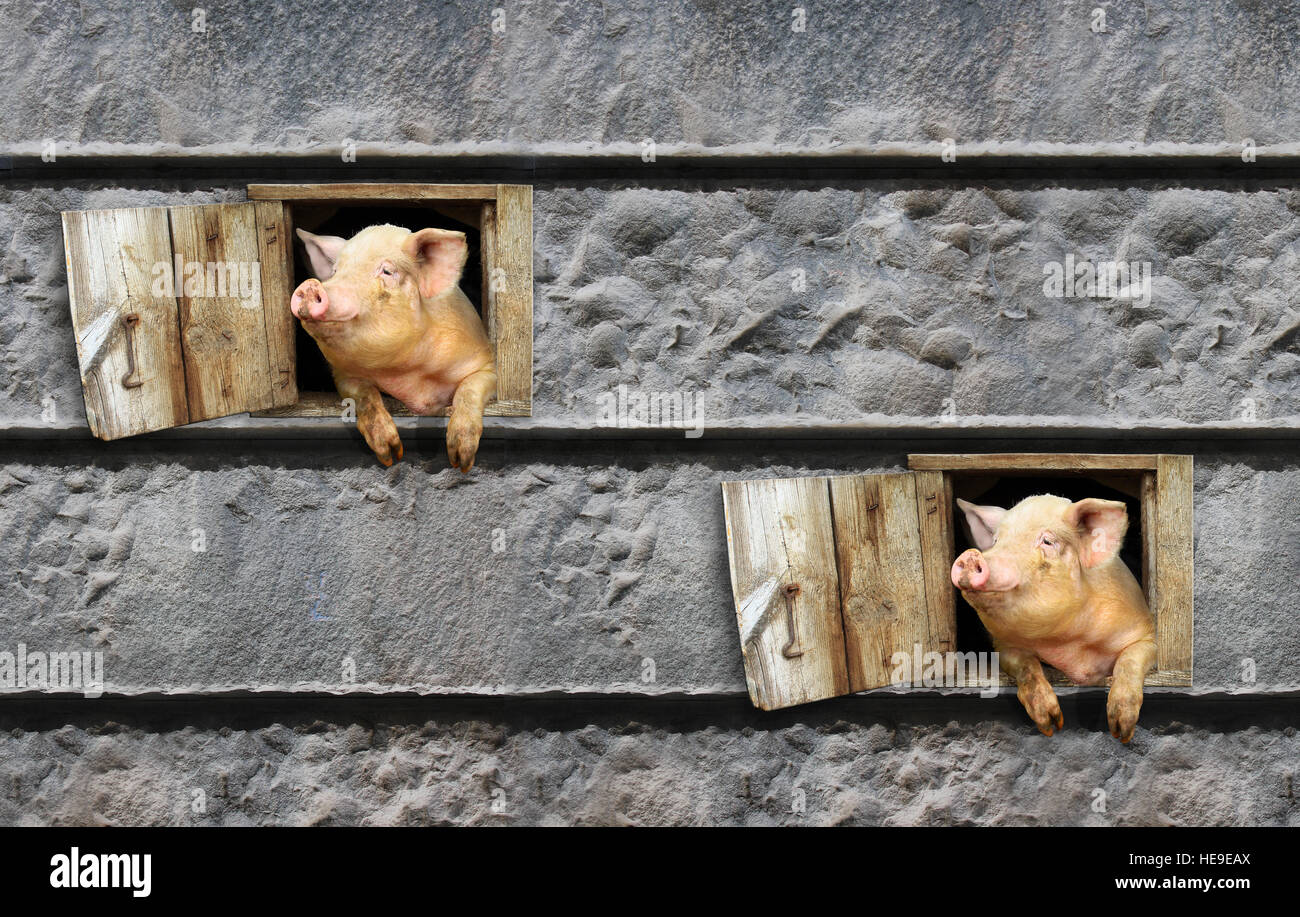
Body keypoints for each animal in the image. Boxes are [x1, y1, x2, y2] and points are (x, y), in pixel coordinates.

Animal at [292, 223, 493, 473]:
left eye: (387, 271)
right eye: (336, 271)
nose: (311, 286)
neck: (407, 376)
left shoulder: (485, 363)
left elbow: (470, 389)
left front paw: (461, 462)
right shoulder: (343, 375)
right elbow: (363, 395)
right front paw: (391, 455)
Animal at [946, 496, 1159, 738]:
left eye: (1047, 541)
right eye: (996, 540)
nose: (971, 556)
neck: (1069, 646)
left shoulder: (1146, 634)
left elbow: (1129, 660)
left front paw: (1122, 732)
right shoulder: (1004, 645)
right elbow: (1026, 666)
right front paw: (1051, 725)